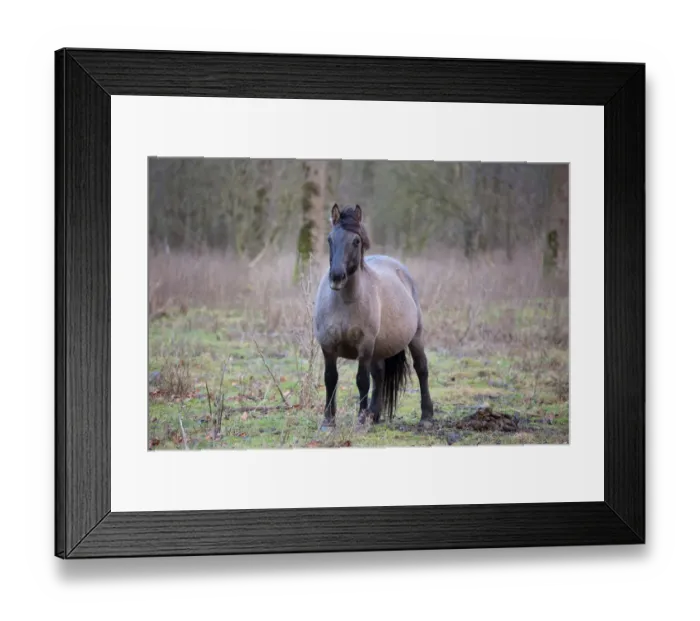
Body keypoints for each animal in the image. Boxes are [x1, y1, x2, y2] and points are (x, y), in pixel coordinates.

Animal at [312, 203, 434, 429]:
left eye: (356, 241)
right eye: (330, 239)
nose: (336, 277)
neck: (345, 303)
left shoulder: (365, 346)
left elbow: (362, 380)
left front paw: (360, 419)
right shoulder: (328, 345)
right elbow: (330, 378)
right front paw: (328, 421)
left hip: (415, 337)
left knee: (421, 368)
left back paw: (426, 416)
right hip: (379, 349)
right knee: (379, 374)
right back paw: (374, 415)